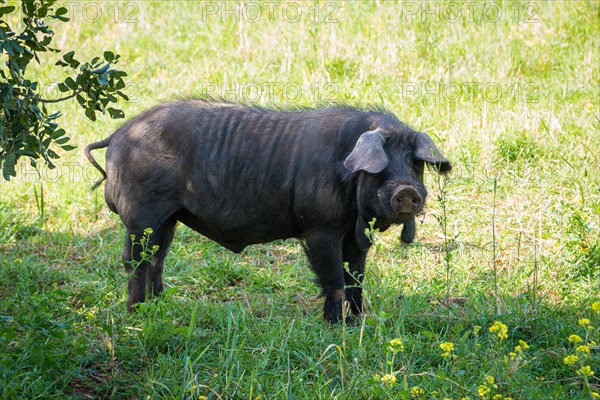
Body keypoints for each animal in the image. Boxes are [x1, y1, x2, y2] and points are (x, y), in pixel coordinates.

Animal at [85, 100, 450, 322]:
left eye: (415, 163)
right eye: (380, 165)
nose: (407, 191)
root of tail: (118, 134)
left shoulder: (354, 234)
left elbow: (356, 276)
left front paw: (360, 321)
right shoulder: (319, 228)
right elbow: (333, 277)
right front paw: (338, 326)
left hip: (168, 219)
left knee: (157, 258)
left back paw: (160, 308)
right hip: (141, 214)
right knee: (134, 260)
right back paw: (136, 315)